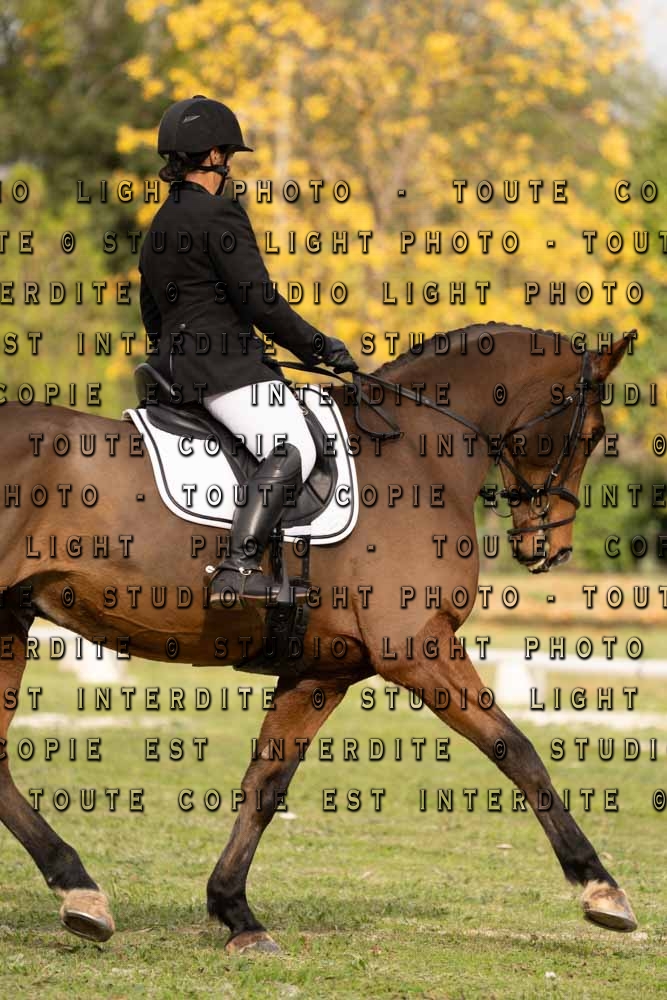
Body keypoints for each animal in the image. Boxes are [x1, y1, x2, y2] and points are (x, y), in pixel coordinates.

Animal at [0, 322, 637, 953]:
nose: (549, 549)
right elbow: (517, 750)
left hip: (9, 623)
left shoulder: (322, 670)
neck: (417, 455)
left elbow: (267, 780)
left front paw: (236, 913)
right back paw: (80, 890)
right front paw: (601, 890)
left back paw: (81, 894)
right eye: (592, 435)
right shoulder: (416, 648)